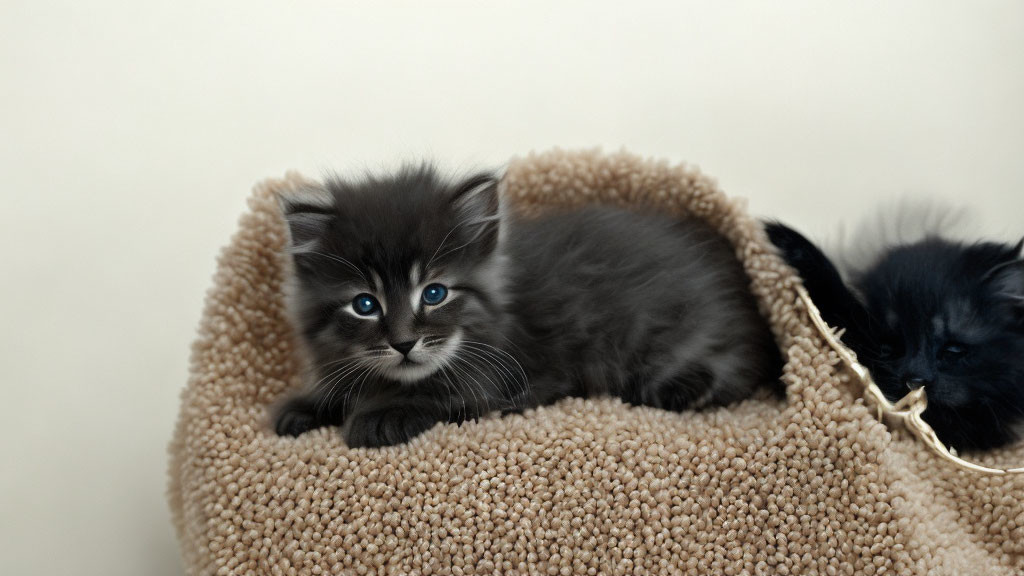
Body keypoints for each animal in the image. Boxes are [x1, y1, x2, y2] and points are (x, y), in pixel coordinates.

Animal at [268, 163, 778, 446]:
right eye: (365, 304)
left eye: (434, 293)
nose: (404, 343)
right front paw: (305, 406)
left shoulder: (498, 382)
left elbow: (438, 397)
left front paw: (376, 418)